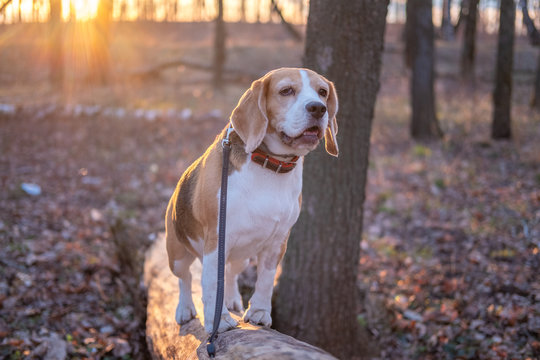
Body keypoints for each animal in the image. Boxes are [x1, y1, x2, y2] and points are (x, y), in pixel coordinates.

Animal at [166, 67, 338, 332]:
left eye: (323, 92)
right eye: (286, 91)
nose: (318, 108)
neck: (270, 165)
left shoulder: (278, 241)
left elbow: (265, 280)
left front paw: (259, 312)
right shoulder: (216, 238)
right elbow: (210, 284)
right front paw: (219, 321)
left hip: (242, 256)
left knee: (230, 273)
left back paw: (231, 299)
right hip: (177, 254)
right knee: (185, 278)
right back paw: (185, 308)